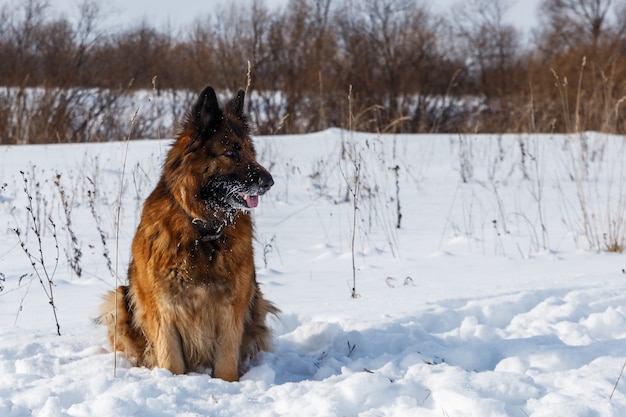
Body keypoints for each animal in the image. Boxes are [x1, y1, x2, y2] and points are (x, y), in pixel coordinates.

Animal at [99, 85, 276, 380]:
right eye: (231, 153)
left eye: (251, 152)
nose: (269, 182)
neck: (202, 230)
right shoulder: (164, 312)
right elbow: (171, 363)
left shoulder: (233, 310)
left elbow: (226, 364)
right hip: (119, 300)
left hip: (257, 302)